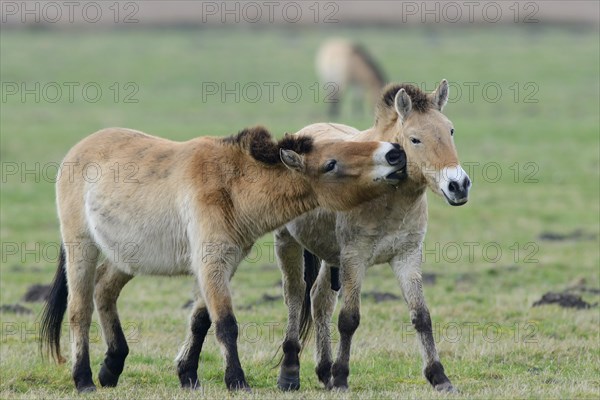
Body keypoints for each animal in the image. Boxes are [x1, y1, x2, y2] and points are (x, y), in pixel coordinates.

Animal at [38, 124, 408, 390]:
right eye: (331, 164)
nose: (395, 153)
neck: (230, 186)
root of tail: (80, 148)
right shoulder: (211, 263)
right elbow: (226, 324)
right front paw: (237, 381)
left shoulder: (221, 265)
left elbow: (201, 321)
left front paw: (188, 375)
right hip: (82, 248)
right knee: (80, 310)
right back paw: (84, 379)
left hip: (125, 257)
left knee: (104, 290)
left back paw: (111, 367)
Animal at [274, 79, 472, 392]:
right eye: (415, 139)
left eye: (450, 130)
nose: (458, 185)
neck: (388, 195)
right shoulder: (355, 258)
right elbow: (349, 319)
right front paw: (342, 378)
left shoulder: (407, 256)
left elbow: (421, 316)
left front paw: (440, 377)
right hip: (288, 243)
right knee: (294, 296)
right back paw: (290, 373)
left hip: (330, 258)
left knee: (319, 301)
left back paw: (324, 371)